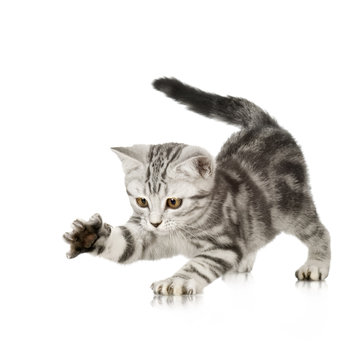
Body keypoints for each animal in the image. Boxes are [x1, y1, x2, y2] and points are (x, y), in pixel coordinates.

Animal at [64, 78, 332, 296]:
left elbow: (199, 264)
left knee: (319, 230)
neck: (182, 229)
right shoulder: (142, 233)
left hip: (293, 207)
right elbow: (124, 243)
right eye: (142, 201)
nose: (155, 222)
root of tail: (266, 125)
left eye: (173, 202)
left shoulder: (223, 244)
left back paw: (316, 264)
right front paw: (90, 235)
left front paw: (177, 281)